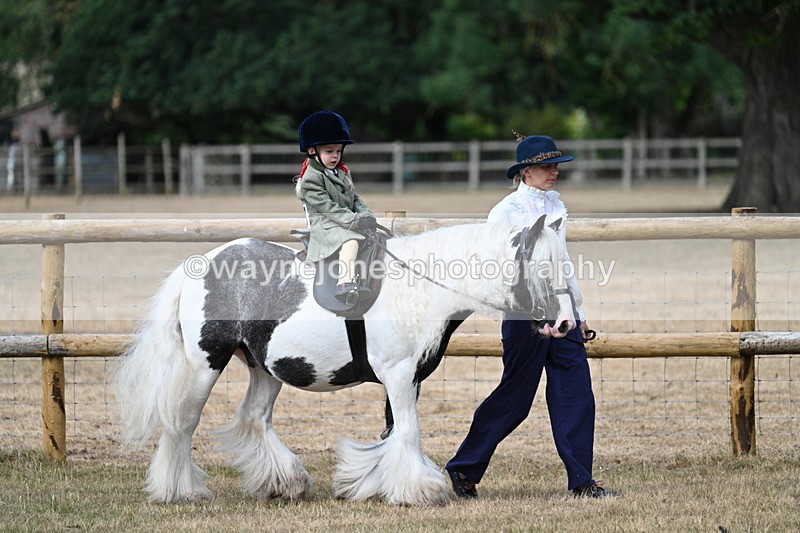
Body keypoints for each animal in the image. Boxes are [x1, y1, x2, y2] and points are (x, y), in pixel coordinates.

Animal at [114, 215, 575, 505]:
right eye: (544, 269)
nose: (567, 324)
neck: (421, 288)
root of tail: (203, 262)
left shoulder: (408, 378)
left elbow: (393, 431)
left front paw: (371, 483)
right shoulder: (398, 374)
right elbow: (408, 430)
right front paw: (420, 490)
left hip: (265, 368)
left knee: (253, 417)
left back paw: (288, 483)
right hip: (206, 363)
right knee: (182, 421)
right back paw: (180, 491)